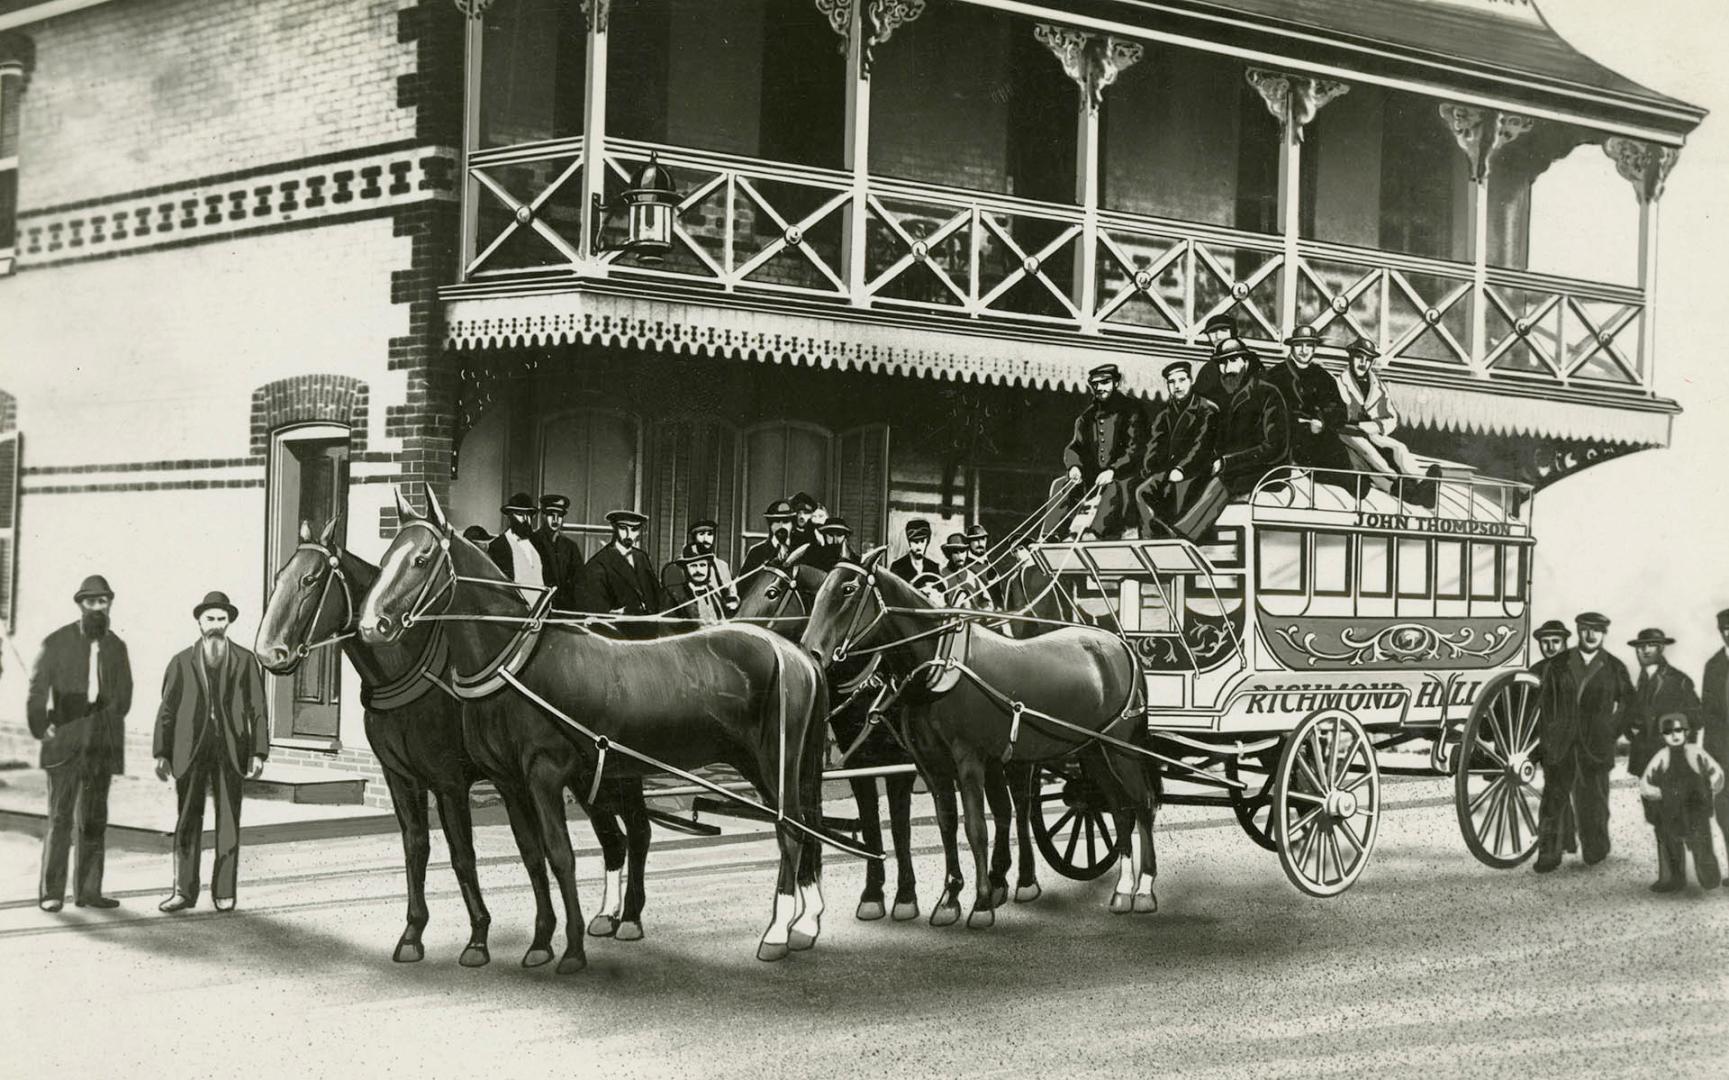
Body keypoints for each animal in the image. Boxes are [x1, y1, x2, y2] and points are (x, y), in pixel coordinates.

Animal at [255, 514, 653, 967]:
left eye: (311, 578)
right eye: (280, 576)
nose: (269, 653)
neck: (410, 668)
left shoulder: (448, 782)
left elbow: (462, 855)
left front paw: (478, 937)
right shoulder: (401, 780)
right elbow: (416, 848)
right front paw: (413, 933)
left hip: (618, 770)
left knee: (638, 831)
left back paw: (630, 918)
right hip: (588, 776)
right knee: (614, 839)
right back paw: (607, 916)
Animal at [359, 487, 836, 960]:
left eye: (421, 559)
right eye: (386, 557)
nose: (372, 626)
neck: (516, 662)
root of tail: (796, 654)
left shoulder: (543, 775)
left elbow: (560, 854)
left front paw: (569, 951)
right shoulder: (510, 782)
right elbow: (532, 855)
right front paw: (541, 941)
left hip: (773, 761)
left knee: (790, 830)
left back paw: (777, 932)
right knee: (802, 825)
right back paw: (804, 922)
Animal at [798, 552, 1161, 919]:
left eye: (847, 589)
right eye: (818, 592)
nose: (811, 653)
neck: (939, 663)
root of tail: (1121, 645)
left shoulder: (969, 759)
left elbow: (976, 828)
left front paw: (982, 902)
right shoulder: (931, 764)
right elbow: (947, 824)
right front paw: (949, 898)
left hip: (1121, 748)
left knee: (1142, 803)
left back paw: (1144, 888)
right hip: (1094, 749)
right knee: (1118, 808)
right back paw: (1122, 889)